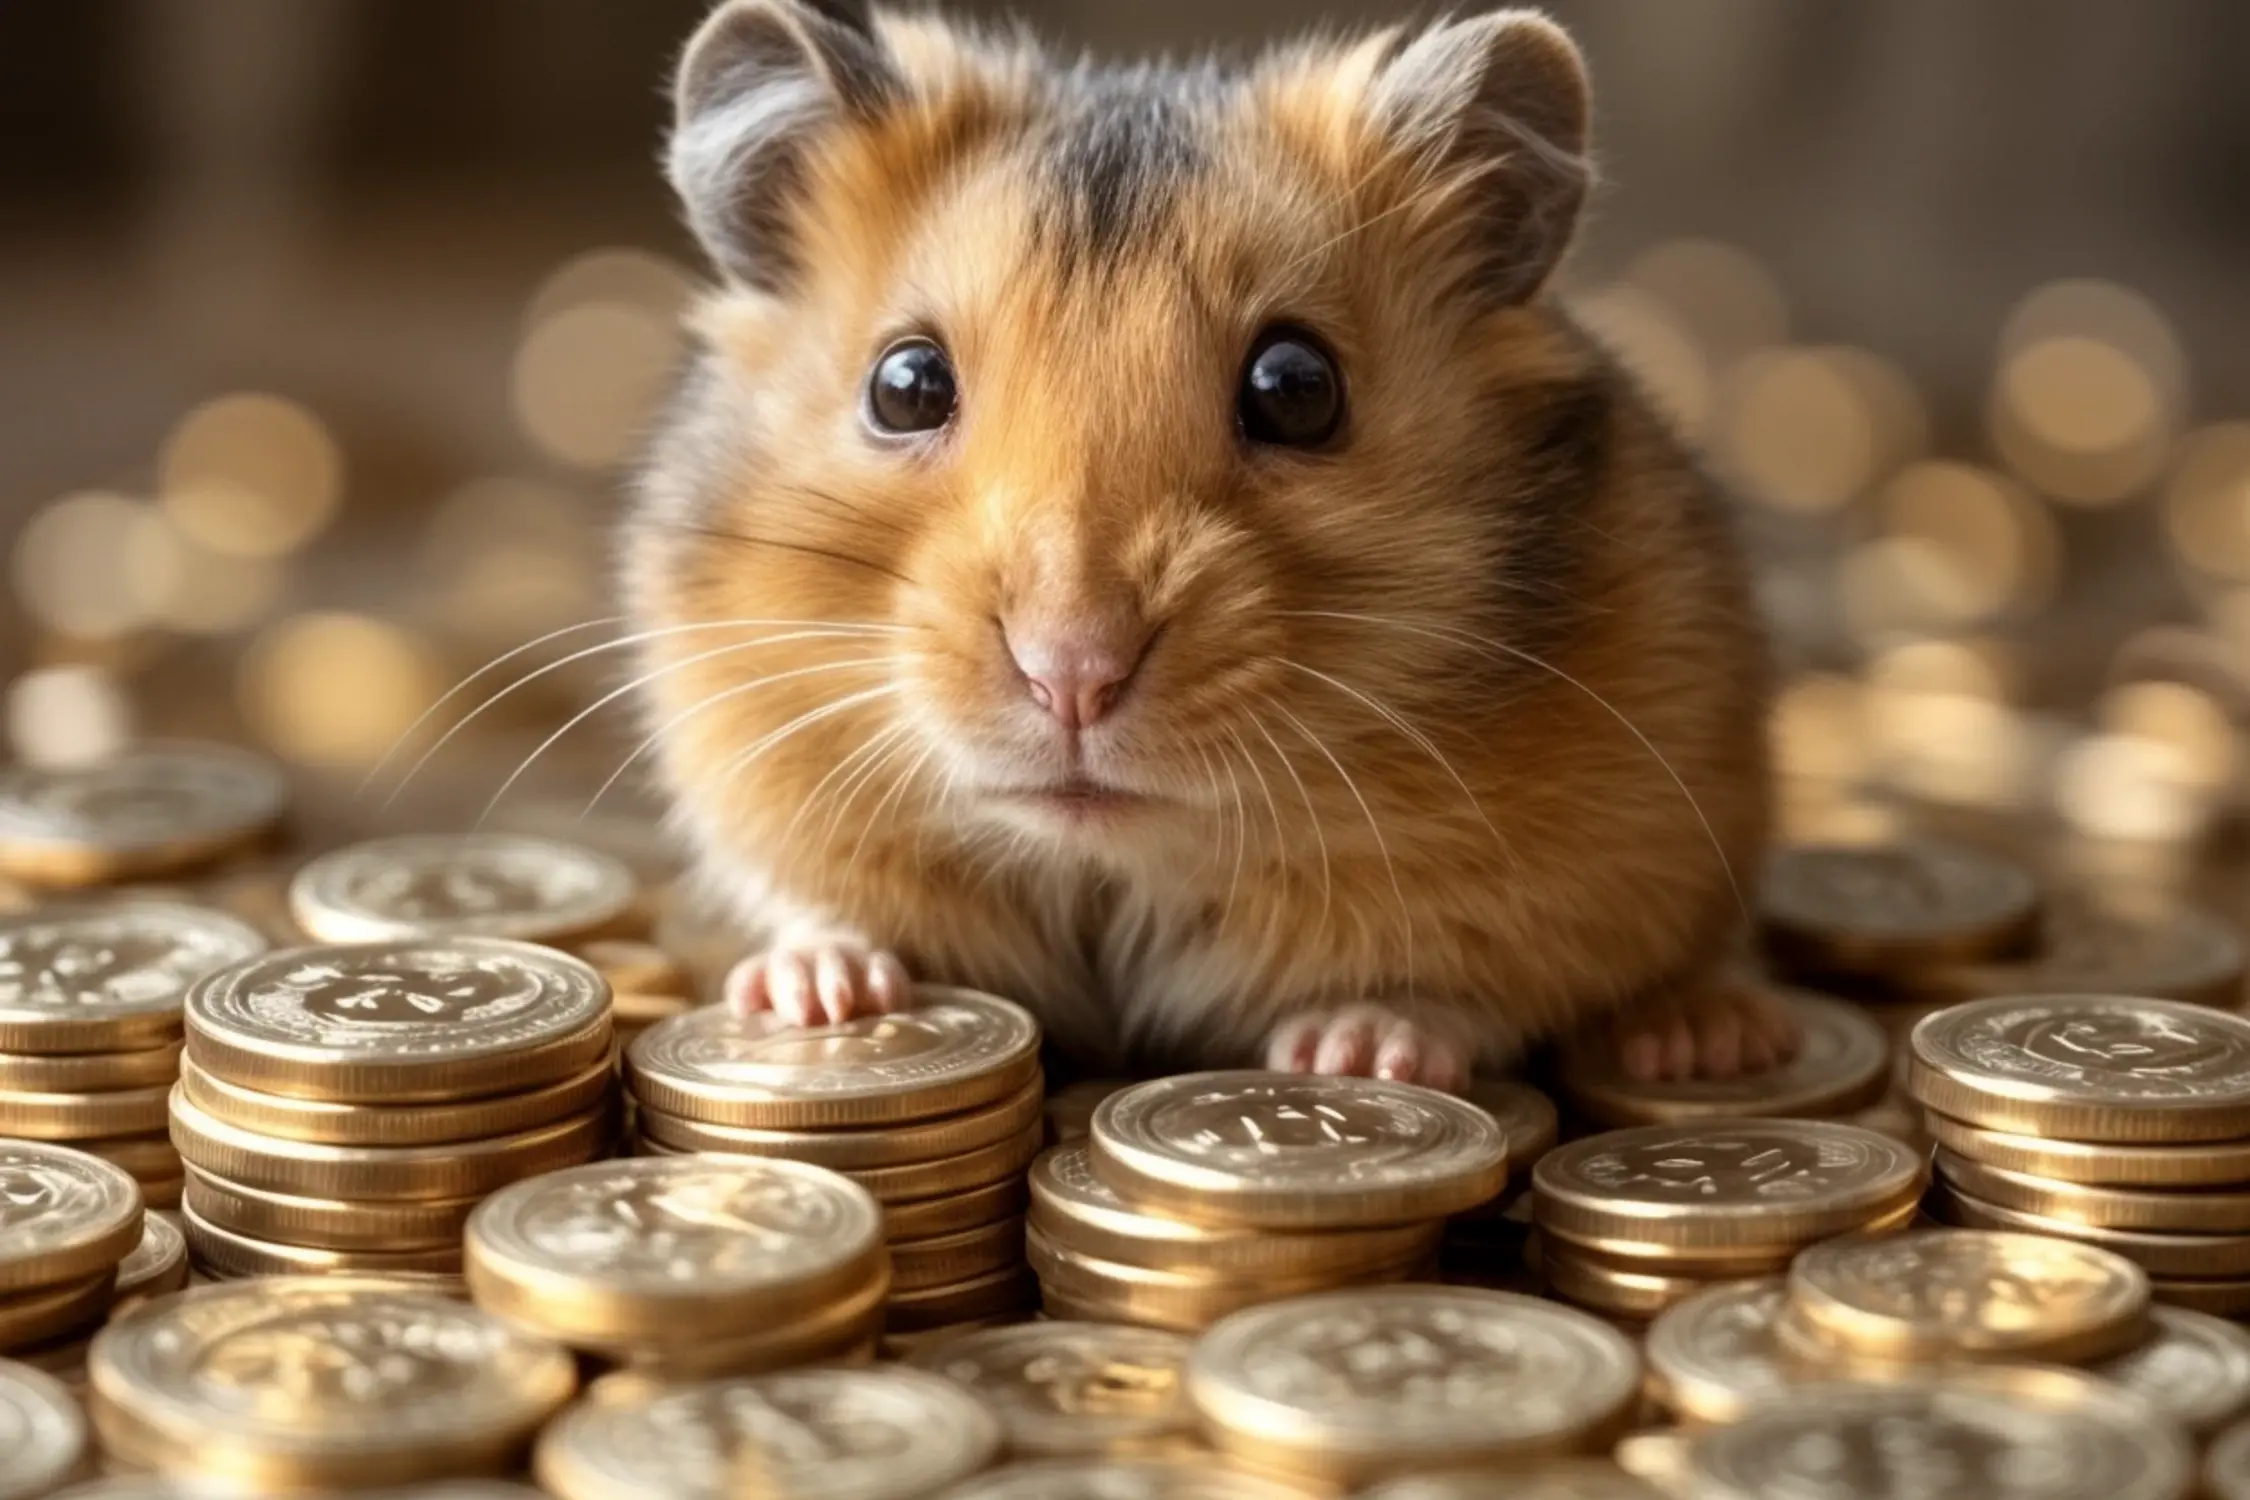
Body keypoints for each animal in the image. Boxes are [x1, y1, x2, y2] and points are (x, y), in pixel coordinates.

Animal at [621, 0, 1793, 1091]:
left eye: (1297, 388)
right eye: (905, 386)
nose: (1073, 677)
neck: (1115, 865)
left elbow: (1466, 988)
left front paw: (1353, 1055)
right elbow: (812, 903)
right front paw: (816, 997)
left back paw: (1702, 1040)